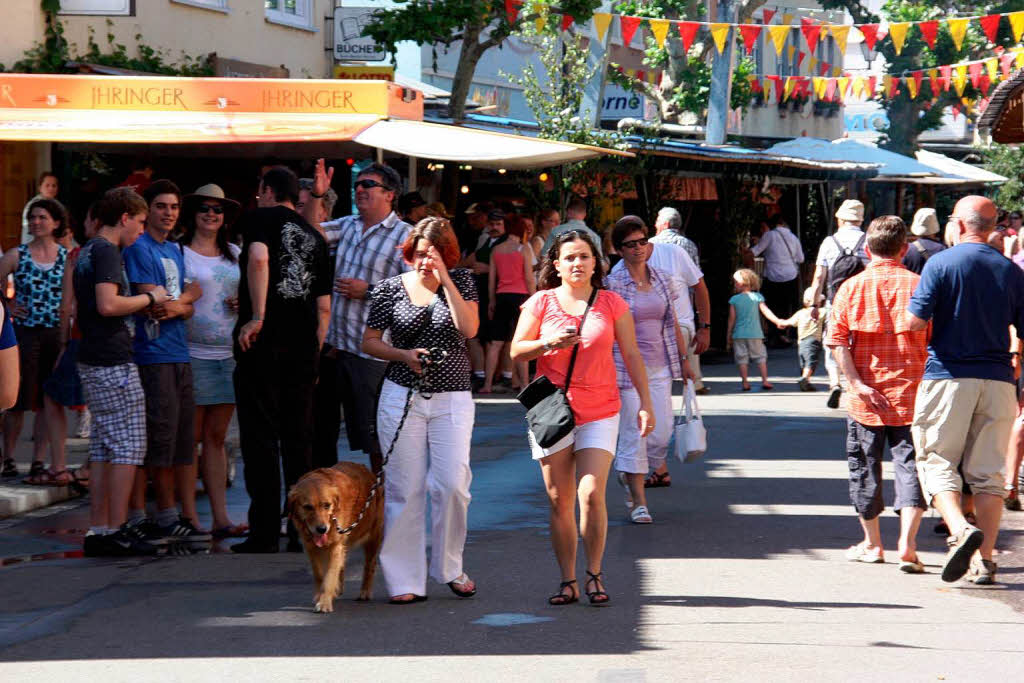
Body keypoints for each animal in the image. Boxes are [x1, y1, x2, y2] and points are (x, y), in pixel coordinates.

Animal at [288, 464, 385, 614]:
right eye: (308, 507)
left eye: (327, 505)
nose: (322, 529)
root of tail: (367, 470)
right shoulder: (311, 548)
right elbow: (319, 574)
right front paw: (320, 596)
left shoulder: (335, 545)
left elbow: (330, 575)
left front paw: (324, 602)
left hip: (373, 537)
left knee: (370, 565)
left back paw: (365, 591)